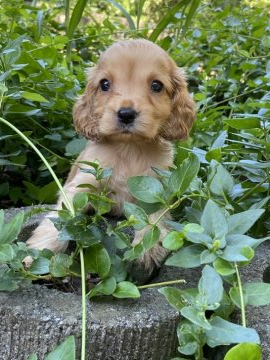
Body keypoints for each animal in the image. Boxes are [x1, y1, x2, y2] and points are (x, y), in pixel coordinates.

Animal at [26, 39, 195, 274]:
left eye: (156, 86)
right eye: (104, 84)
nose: (126, 114)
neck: (129, 149)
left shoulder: (156, 188)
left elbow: (154, 218)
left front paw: (146, 249)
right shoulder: (82, 184)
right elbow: (59, 217)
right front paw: (40, 253)